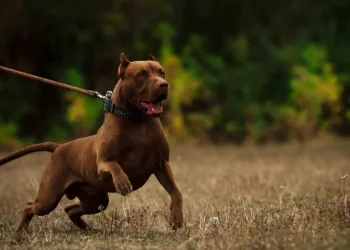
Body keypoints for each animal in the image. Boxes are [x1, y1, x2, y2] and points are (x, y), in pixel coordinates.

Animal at [0, 53, 185, 233]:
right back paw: (19, 233)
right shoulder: (102, 163)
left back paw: (87, 228)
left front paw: (177, 217)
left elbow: (176, 191)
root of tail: (59, 147)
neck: (138, 121)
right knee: (30, 206)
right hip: (49, 198)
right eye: (141, 74)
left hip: (96, 199)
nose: (164, 84)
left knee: (70, 209)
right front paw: (123, 182)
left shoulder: (162, 164)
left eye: (162, 73)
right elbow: (114, 165)